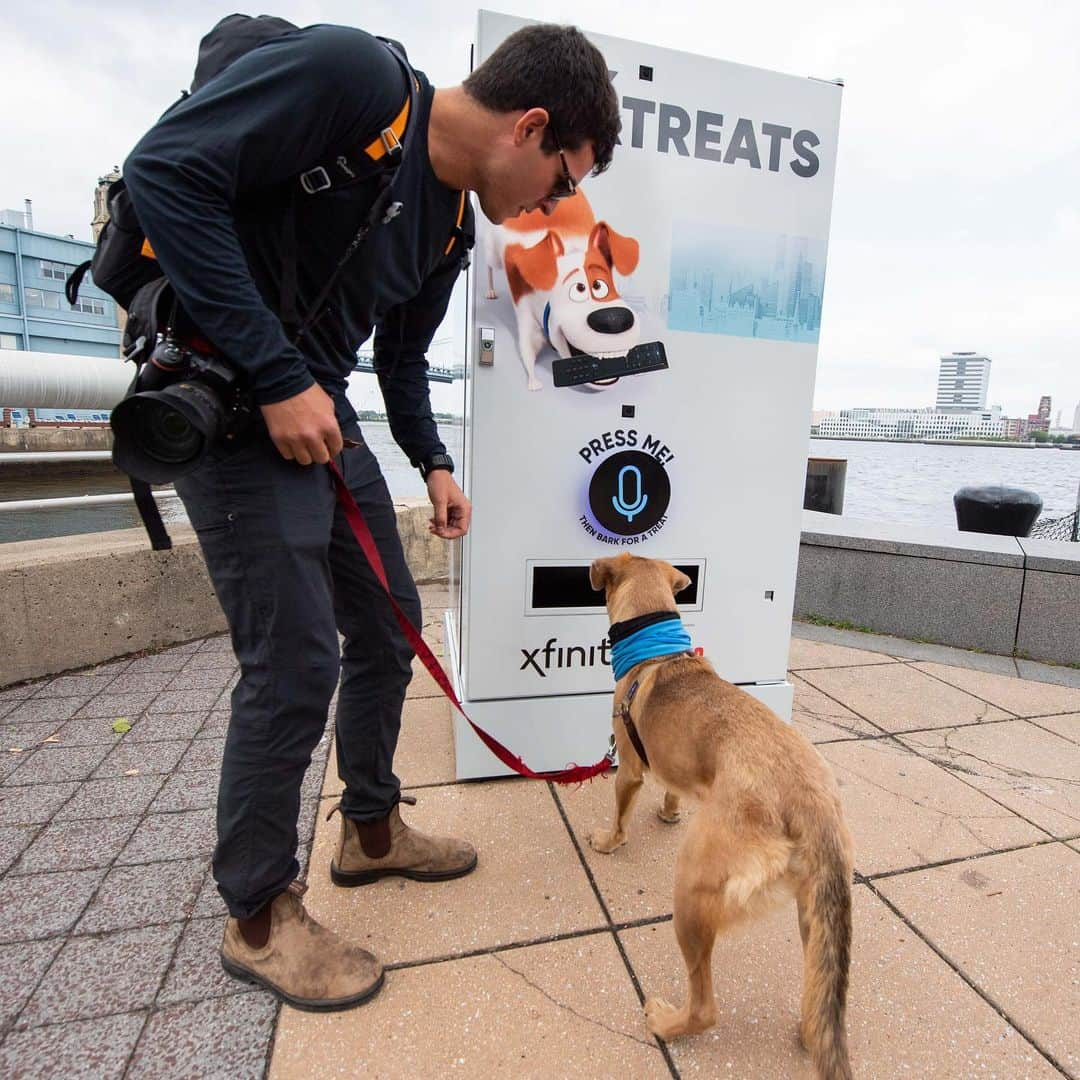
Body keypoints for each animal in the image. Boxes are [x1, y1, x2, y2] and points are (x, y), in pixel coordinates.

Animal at [591, 557, 851, 1080]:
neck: (658, 651)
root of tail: (813, 804)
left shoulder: (628, 766)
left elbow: (621, 814)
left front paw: (610, 840)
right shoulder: (673, 762)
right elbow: (672, 787)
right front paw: (669, 811)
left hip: (692, 891)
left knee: (705, 1007)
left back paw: (665, 1023)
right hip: (812, 915)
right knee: (818, 995)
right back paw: (809, 1029)